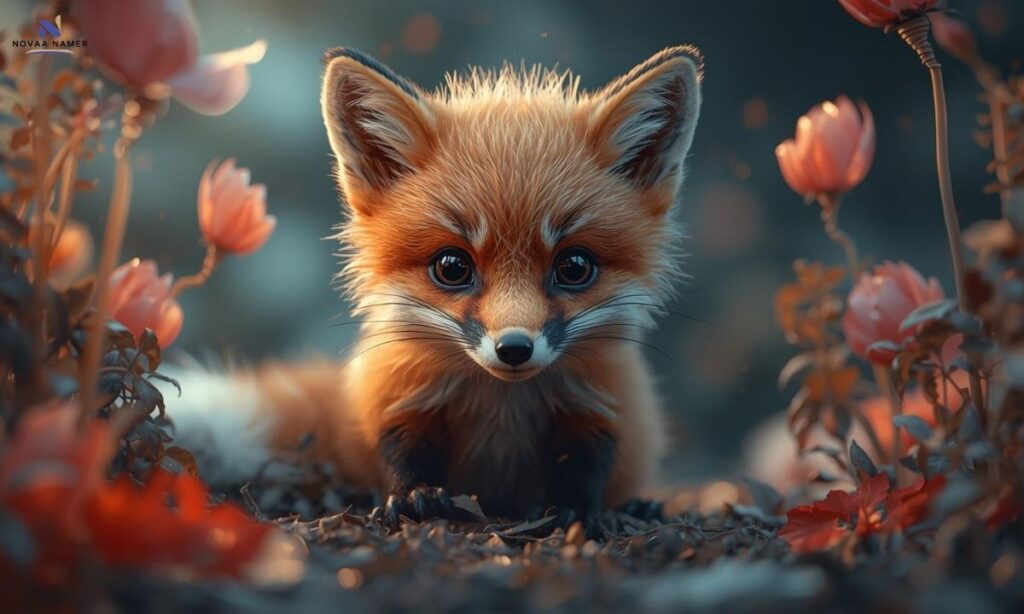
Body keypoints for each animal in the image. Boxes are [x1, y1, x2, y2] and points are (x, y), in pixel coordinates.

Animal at [166, 45, 703, 535]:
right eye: (452, 266)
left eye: (573, 267)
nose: (514, 348)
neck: (501, 407)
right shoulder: (398, 394)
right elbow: (403, 453)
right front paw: (414, 498)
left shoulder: (603, 405)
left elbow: (586, 465)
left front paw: (573, 510)